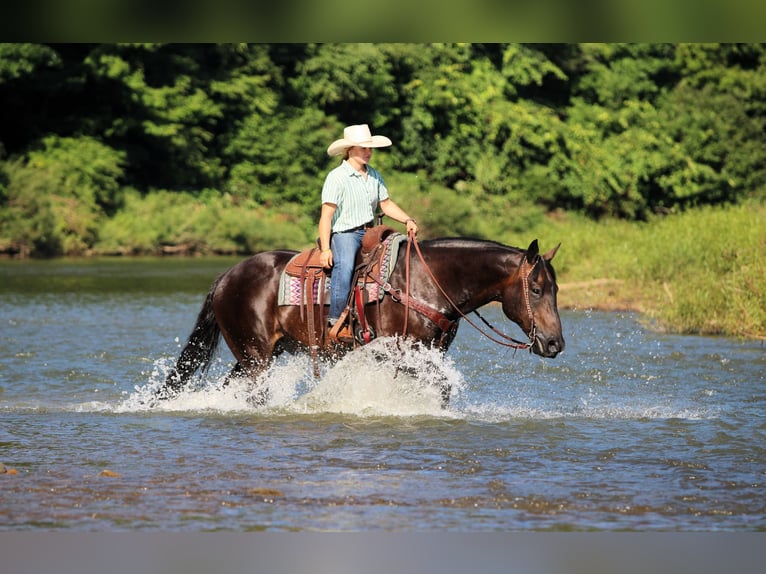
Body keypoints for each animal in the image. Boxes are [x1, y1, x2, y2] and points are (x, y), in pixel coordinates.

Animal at [158, 234, 565, 405]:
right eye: (537, 289)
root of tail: (226, 276)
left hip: (257, 355)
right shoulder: (397, 351)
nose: (555, 343)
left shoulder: (430, 353)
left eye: (556, 289)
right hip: (255, 356)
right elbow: (442, 387)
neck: (426, 281)